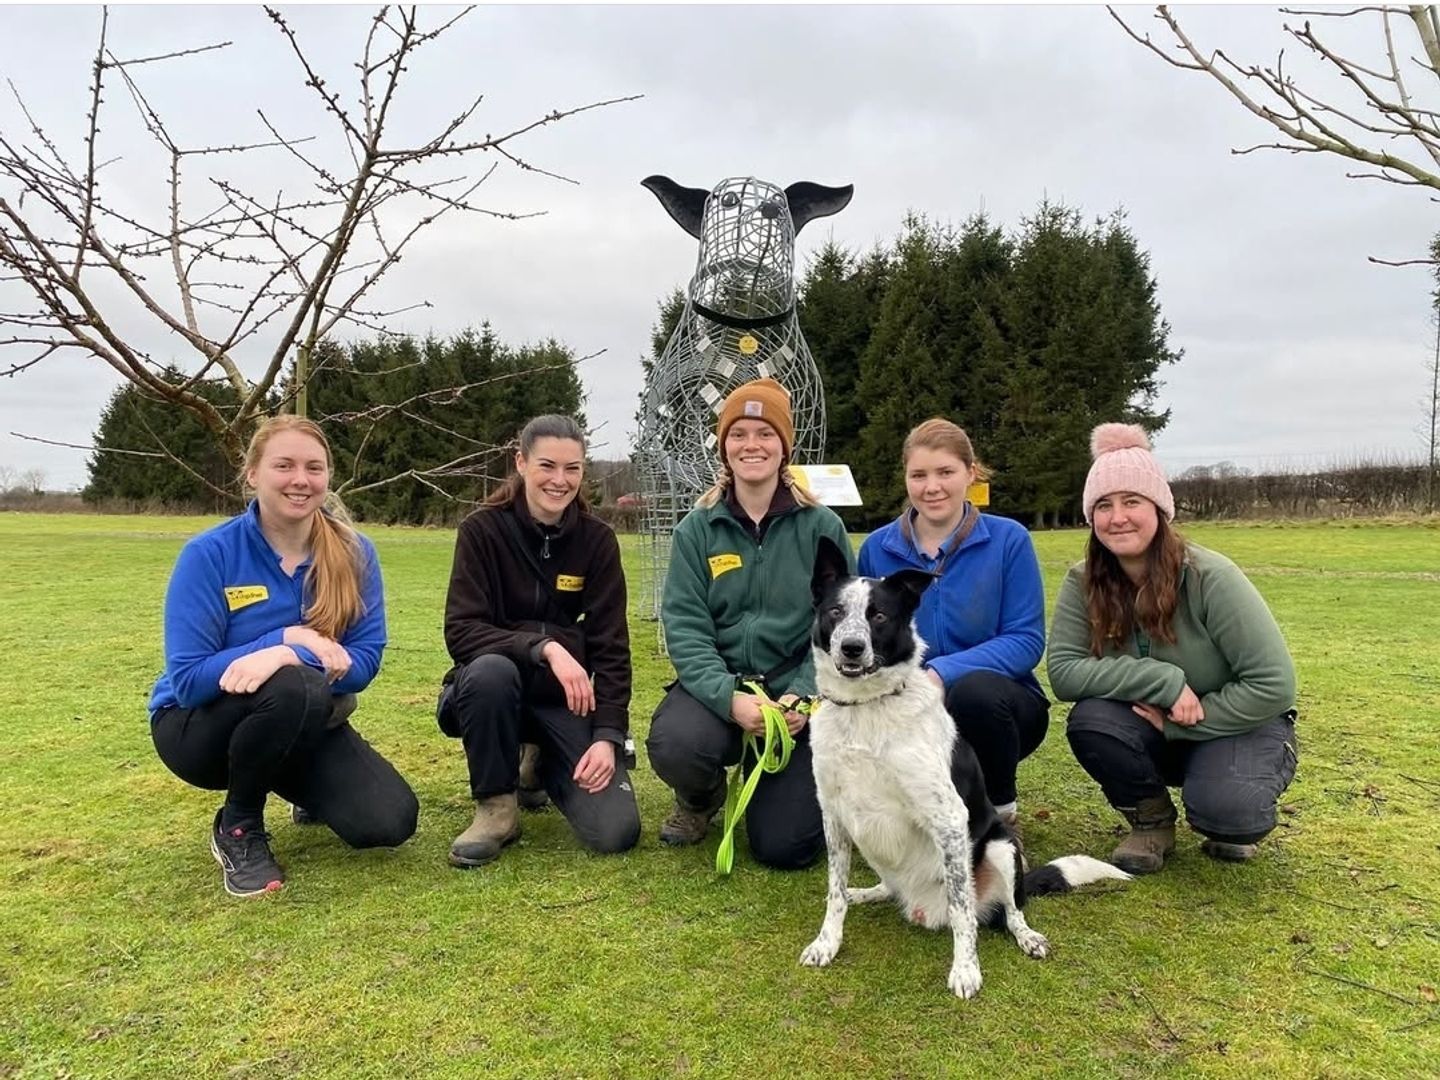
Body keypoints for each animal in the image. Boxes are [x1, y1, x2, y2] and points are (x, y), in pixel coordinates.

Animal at [800, 538, 1123, 1002]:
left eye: (879, 616)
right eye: (835, 612)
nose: (852, 648)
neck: (865, 708)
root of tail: (920, 907)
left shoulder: (950, 818)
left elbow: (962, 910)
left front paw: (966, 969)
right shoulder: (834, 815)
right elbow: (834, 892)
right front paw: (827, 942)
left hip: (1001, 849)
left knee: (1007, 910)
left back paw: (1026, 935)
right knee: (887, 888)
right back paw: (869, 892)